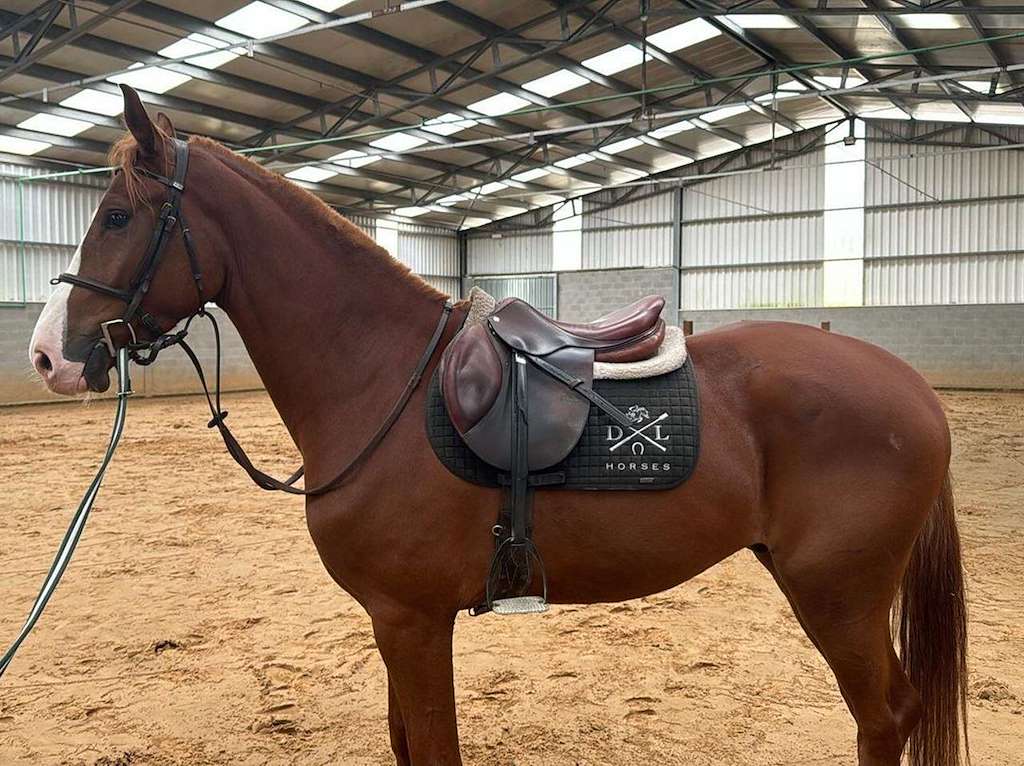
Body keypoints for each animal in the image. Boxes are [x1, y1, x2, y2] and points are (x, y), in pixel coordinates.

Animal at [28, 85, 967, 766]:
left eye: (118, 217)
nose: (48, 357)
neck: (381, 378)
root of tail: (911, 388)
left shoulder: (412, 621)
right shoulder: (393, 624)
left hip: (839, 595)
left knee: (884, 716)